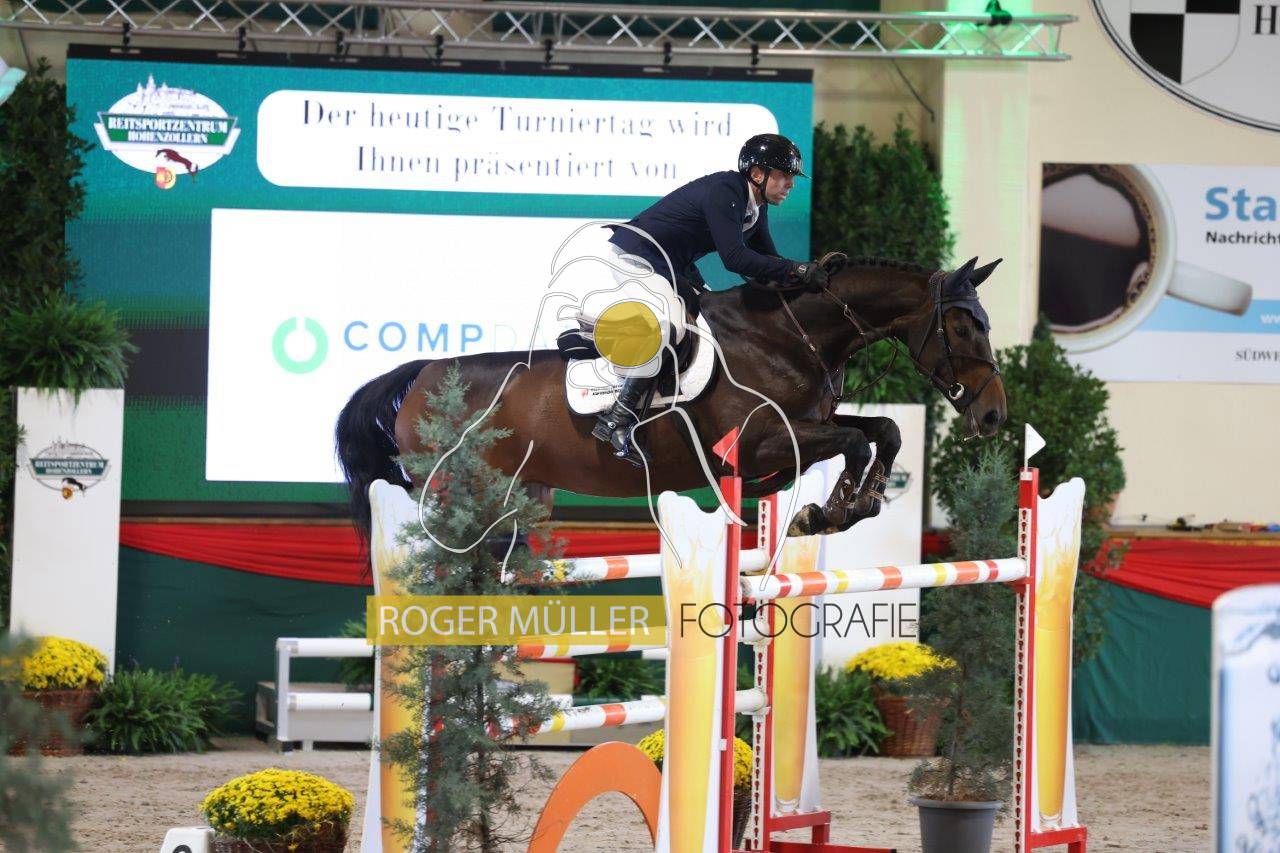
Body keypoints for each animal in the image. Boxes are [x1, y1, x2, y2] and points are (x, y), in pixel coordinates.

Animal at [336, 255, 1006, 539]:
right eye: (963, 326)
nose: (994, 414)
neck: (792, 334)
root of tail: (422, 372)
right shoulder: (756, 445)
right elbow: (853, 441)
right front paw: (831, 510)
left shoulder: (803, 425)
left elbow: (879, 432)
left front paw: (851, 506)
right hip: (452, 485)